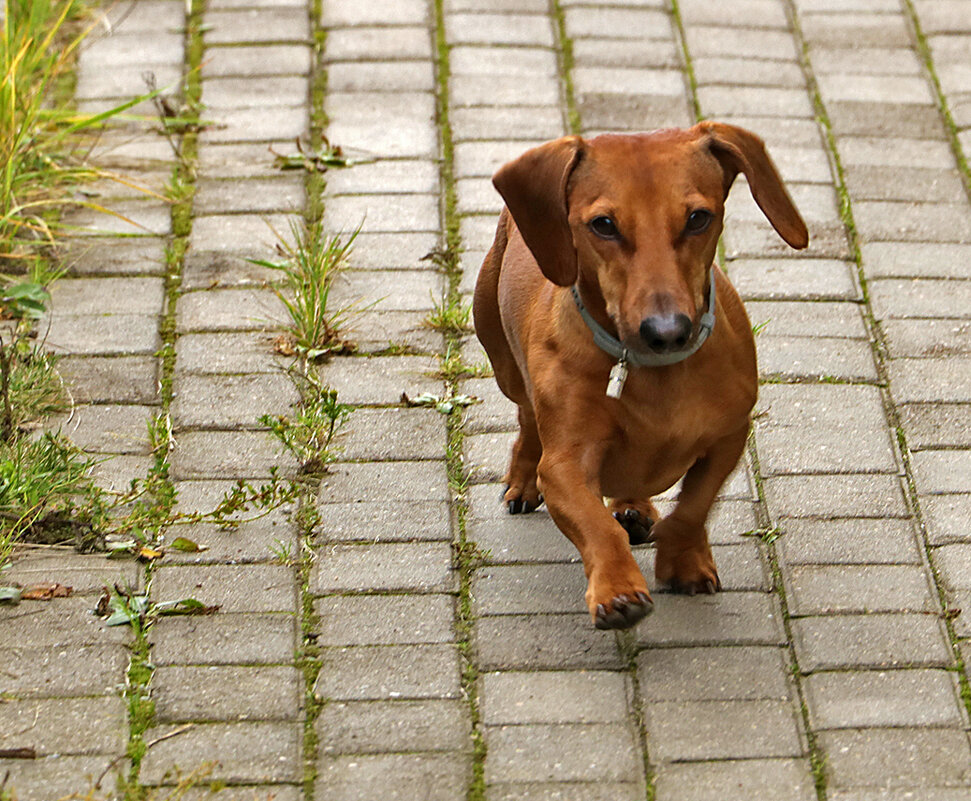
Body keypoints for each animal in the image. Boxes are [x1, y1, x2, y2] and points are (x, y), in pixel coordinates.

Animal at [474, 122, 808, 628]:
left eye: (698, 218)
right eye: (603, 225)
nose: (666, 332)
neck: (657, 375)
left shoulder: (730, 436)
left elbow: (693, 507)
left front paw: (682, 561)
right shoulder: (565, 466)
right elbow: (596, 526)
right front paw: (617, 589)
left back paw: (632, 508)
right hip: (504, 363)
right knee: (527, 420)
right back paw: (523, 479)